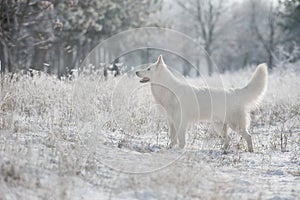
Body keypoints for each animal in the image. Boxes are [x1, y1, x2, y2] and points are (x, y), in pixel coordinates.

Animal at [136, 55, 268, 152]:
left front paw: (180, 150)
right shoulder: (171, 121)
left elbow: (181, 139)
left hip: (235, 124)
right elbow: (173, 138)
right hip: (219, 125)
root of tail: (235, 92)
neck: (167, 89)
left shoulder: (181, 122)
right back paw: (223, 150)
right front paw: (169, 148)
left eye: (148, 69)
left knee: (248, 136)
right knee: (228, 139)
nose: (137, 71)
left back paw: (250, 151)